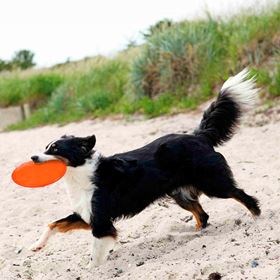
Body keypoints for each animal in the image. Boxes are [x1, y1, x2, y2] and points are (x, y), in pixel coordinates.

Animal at [30, 68, 260, 266]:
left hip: (213, 183)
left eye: (55, 149)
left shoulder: (101, 222)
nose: (32, 157)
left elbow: (94, 254)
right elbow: (53, 224)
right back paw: (196, 234)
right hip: (180, 194)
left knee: (241, 195)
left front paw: (92, 269)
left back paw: (257, 216)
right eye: (46, 147)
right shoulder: (87, 216)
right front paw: (37, 245)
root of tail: (199, 136)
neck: (80, 174)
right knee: (203, 215)